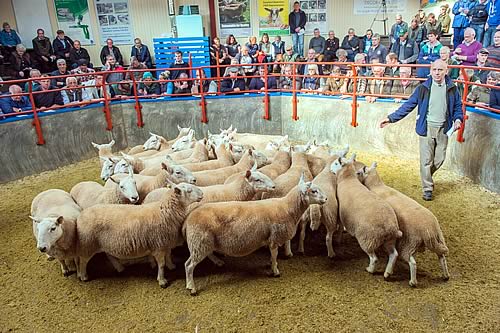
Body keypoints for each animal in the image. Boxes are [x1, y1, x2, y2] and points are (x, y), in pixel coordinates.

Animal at [75, 180, 203, 286]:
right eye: (189, 190)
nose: (202, 193)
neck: (164, 211)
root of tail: (80, 216)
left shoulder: (165, 242)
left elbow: (168, 255)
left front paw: (171, 266)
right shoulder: (158, 245)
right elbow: (161, 264)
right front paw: (162, 280)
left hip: (104, 242)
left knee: (109, 255)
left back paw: (120, 268)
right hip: (88, 243)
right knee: (83, 260)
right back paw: (83, 276)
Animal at [184, 172, 328, 294]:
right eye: (314, 191)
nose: (326, 199)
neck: (287, 208)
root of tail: (189, 218)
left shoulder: (270, 238)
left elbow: (272, 255)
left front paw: (271, 264)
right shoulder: (274, 237)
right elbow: (275, 255)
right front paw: (275, 271)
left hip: (202, 243)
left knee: (195, 260)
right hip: (199, 241)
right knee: (189, 266)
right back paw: (192, 288)